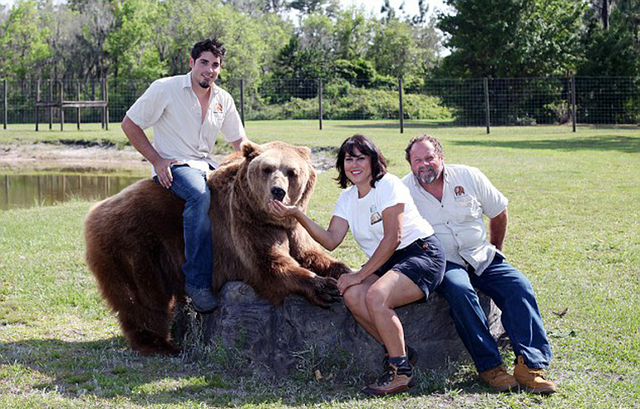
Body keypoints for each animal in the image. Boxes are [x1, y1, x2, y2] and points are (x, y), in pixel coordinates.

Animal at [84, 140, 350, 354]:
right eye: (267, 169)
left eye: (292, 172)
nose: (278, 191)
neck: (271, 218)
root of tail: (94, 212)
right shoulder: (243, 223)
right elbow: (269, 265)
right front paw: (322, 287)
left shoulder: (293, 227)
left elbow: (309, 253)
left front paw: (340, 271)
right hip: (134, 245)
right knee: (144, 299)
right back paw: (163, 345)